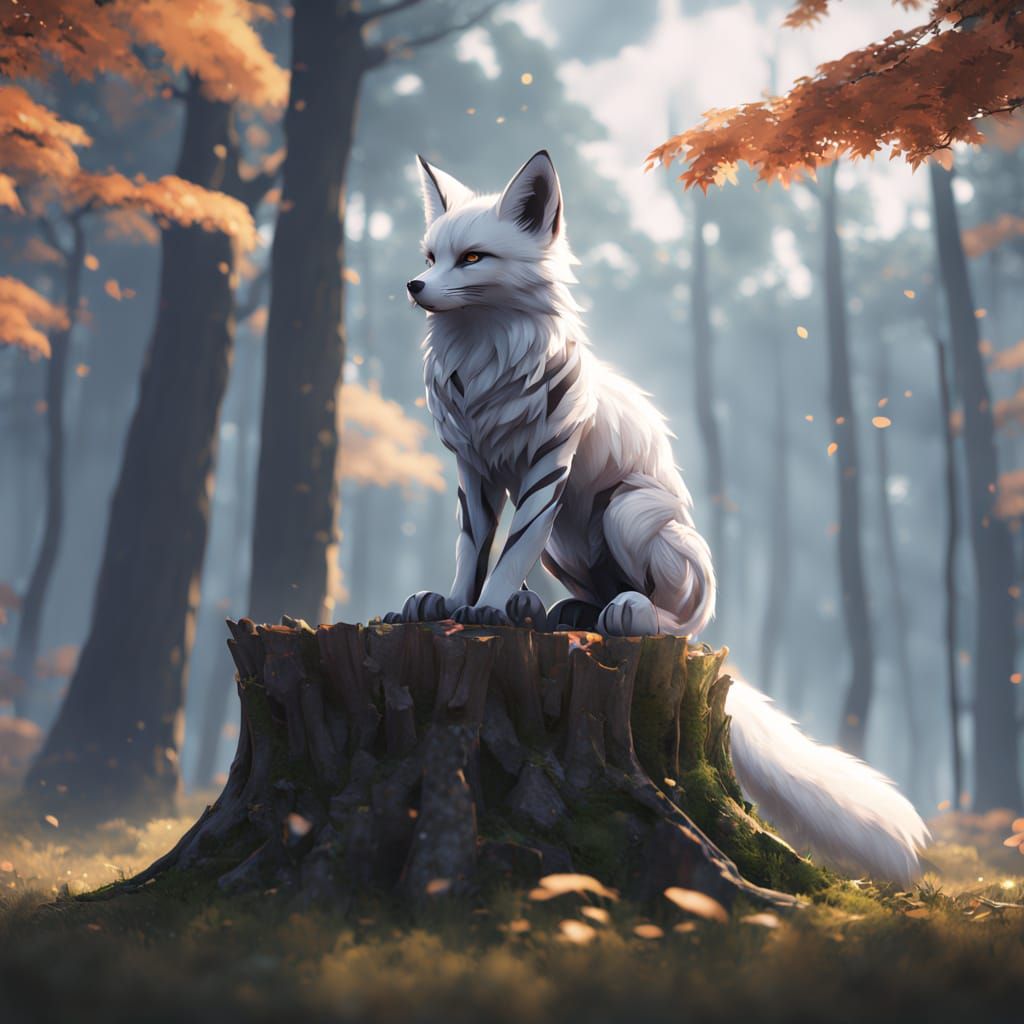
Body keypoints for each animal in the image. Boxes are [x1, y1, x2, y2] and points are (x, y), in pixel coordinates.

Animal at [391, 149, 930, 886]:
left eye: (473, 258)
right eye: (431, 254)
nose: (414, 285)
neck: (483, 366)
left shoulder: (547, 469)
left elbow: (510, 552)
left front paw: (490, 610)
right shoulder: (474, 472)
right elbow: (474, 552)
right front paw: (450, 604)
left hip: (631, 512)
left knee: (677, 620)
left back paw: (626, 614)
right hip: (570, 543)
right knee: (585, 596)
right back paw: (558, 612)